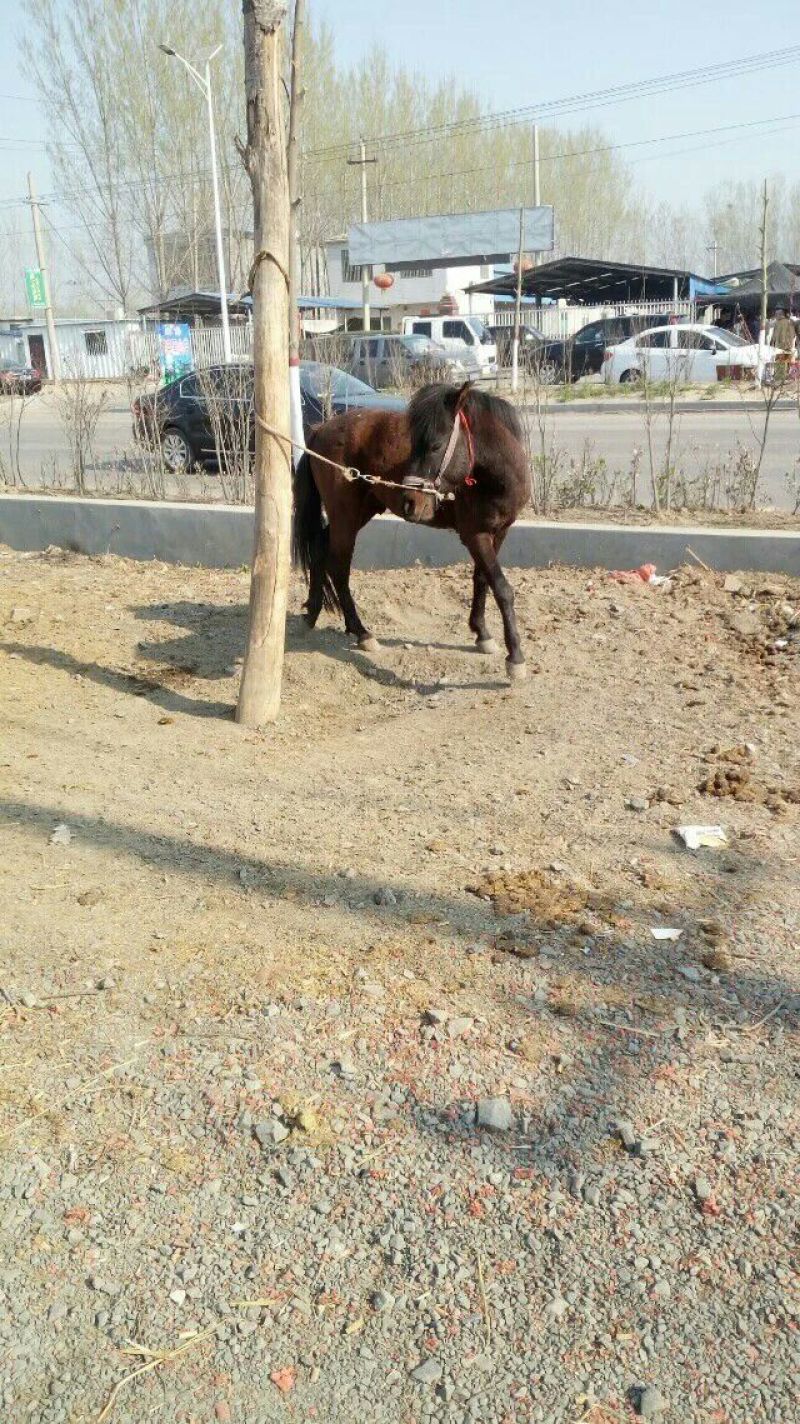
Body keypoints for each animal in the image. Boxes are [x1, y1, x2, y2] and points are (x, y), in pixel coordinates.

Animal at [292, 380, 530, 680]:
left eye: (435, 445)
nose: (410, 502)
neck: (493, 478)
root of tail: (320, 430)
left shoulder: (498, 532)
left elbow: (482, 580)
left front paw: (482, 633)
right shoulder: (475, 536)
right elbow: (501, 587)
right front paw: (515, 657)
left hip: (360, 512)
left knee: (320, 549)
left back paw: (312, 614)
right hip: (345, 515)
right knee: (338, 566)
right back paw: (361, 632)